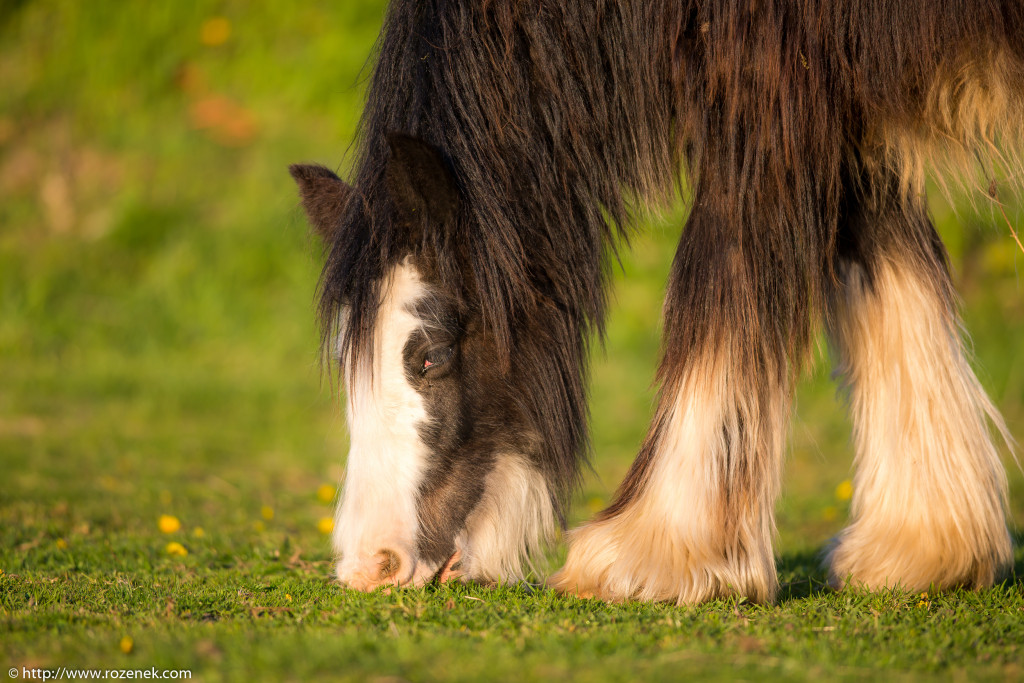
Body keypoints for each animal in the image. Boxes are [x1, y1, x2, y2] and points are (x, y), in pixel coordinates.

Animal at [290, 1, 1024, 602]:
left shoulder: (768, 92)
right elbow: (889, 265)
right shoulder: (843, 98)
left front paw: (652, 555)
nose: (373, 565)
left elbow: (724, 280)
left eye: (432, 356)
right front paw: (924, 546)